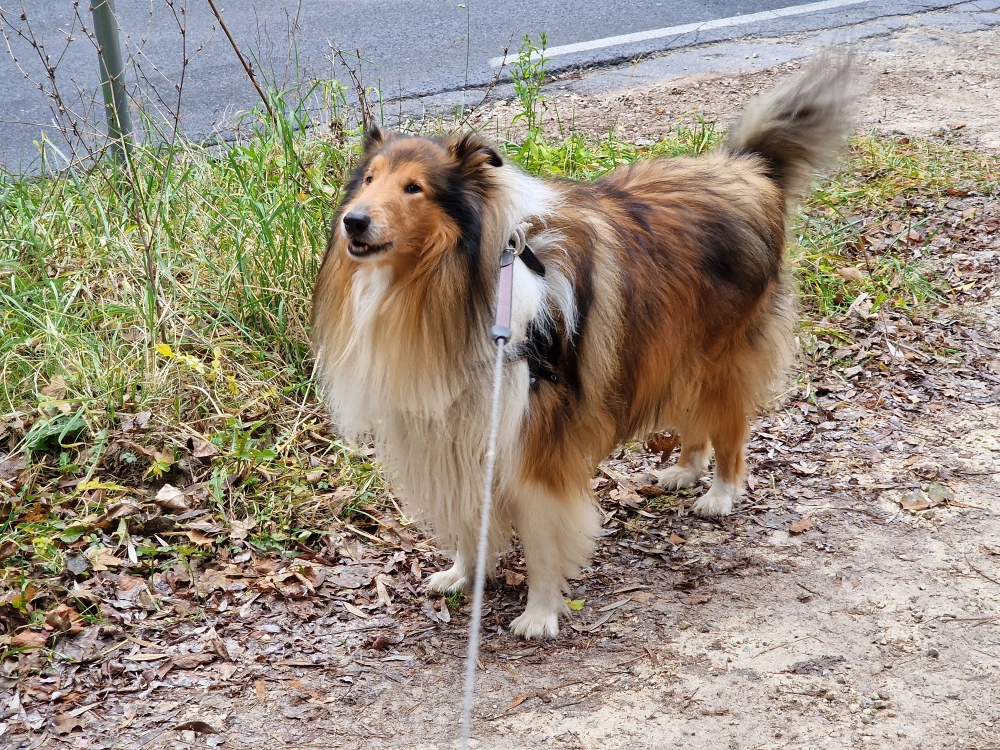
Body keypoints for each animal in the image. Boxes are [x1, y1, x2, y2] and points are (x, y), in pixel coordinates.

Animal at [310, 57, 852, 640]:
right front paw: (463, 574)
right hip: (676, 351)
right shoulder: (461, 432)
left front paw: (540, 613)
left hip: (720, 358)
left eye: (414, 188)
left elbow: (544, 538)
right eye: (369, 179)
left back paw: (720, 493)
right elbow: (473, 520)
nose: (354, 220)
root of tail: (747, 168)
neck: (456, 286)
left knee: (729, 426)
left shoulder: (537, 441)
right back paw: (684, 470)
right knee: (695, 418)